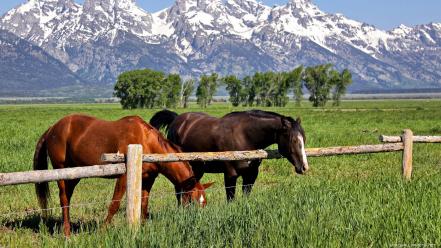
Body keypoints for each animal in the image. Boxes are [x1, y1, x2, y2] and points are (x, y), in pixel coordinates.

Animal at [32, 114, 211, 236]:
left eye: (204, 202)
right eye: (193, 200)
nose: (197, 222)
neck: (146, 142)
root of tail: (52, 128)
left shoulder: (148, 179)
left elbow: (144, 204)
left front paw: (143, 227)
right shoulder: (123, 177)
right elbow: (115, 204)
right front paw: (102, 231)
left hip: (75, 173)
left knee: (67, 198)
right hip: (62, 171)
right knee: (64, 200)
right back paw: (67, 233)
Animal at [150, 110, 308, 202]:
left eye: (304, 139)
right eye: (294, 140)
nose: (304, 167)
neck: (245, 136)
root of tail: (177, 119)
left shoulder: (251, 175)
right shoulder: (231, 175)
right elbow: (230, 199)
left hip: (197, 169)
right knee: (179, 191)